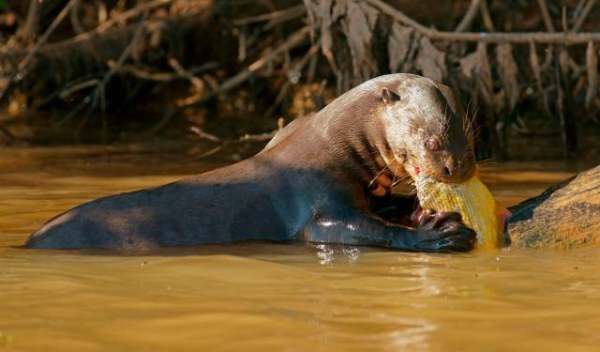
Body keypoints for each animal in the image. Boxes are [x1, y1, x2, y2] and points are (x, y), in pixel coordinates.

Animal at [25, 73, 480, 250]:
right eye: (431, 138)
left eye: (469, 136)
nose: (459, 168)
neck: (334, 141)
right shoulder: (315, 194)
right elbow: (346, 228)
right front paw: (437, 233)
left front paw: (423, 212)